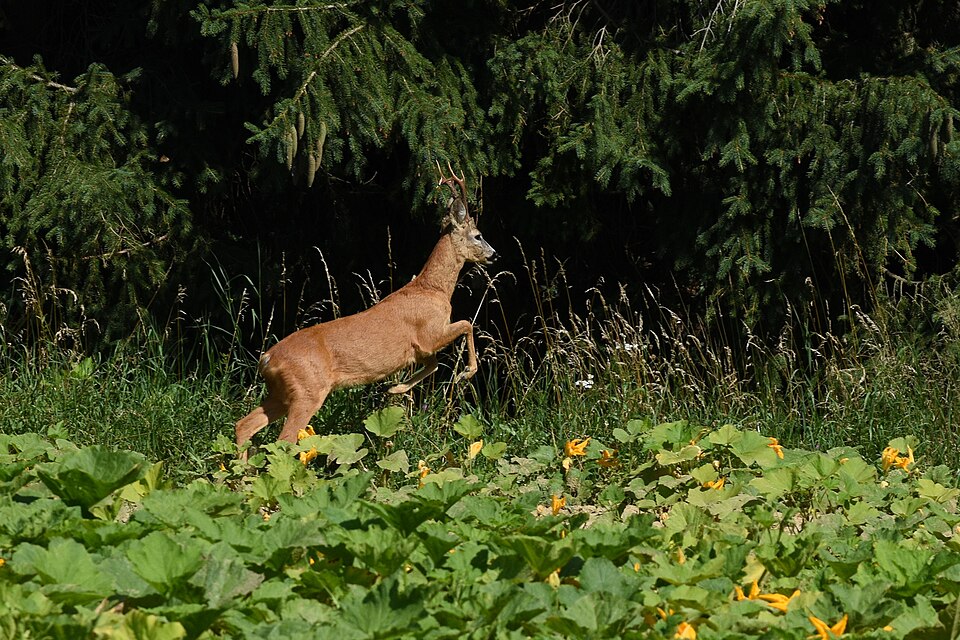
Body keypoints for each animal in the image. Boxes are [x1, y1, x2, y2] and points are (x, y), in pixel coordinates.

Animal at [235, 165, 497, 458]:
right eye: (478, 235)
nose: (494, 254)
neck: (433, 289)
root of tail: (266, 359)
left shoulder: (421, 348)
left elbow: (434, 362)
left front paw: (395, 388)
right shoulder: (430, 333)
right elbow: (466, 324)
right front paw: (466, 372)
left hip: (282, 392)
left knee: (244, 425)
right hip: (307, 392)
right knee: (285, 441)